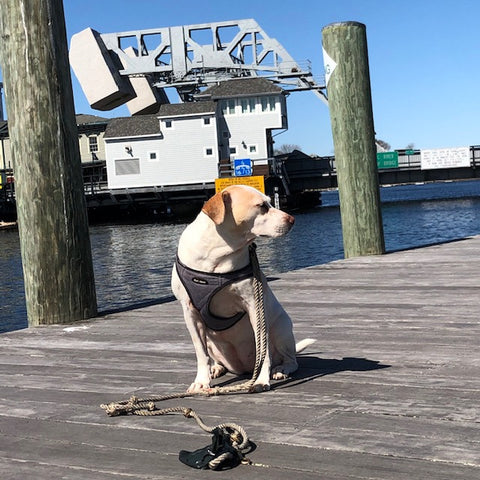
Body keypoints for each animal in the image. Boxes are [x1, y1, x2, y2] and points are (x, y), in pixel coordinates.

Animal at [171, 186, 314, 392]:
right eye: (262, 206)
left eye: (270, 201)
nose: (292, 219)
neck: (217, 254)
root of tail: (243, 368)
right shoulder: (190, 312)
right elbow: (201, 353)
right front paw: (201, 381)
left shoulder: (254, 307)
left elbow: (264, 352)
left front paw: (262, 380)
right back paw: (216, 368)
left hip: (281, 328)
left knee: (289, 358)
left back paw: (281, 369)